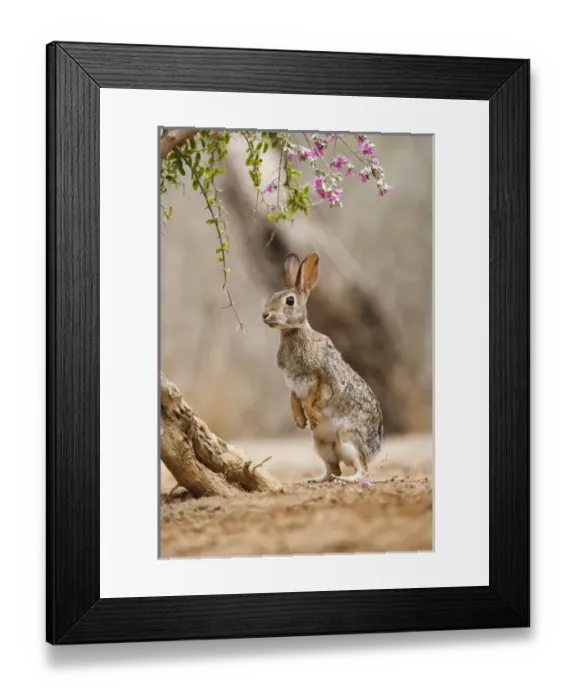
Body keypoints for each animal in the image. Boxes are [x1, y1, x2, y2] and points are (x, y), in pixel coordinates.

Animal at [262, 251, 385, 483]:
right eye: (272, 295)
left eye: (289, 300)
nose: (265, 315)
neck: (294, 332)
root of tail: (376, 449)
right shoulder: (293, 383)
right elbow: (294, 398)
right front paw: (300, 421)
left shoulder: (322, 377)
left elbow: (316, 396)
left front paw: (313, 416)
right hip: (322, 446)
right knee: (332, 470)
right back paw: (313, 480)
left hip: (349, 438)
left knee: (362, 469)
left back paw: (347, 480)